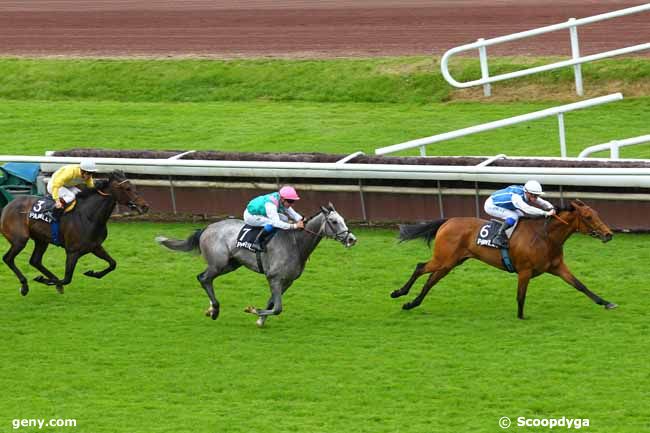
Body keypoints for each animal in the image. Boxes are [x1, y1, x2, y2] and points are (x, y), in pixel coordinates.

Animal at [0, 170, 147, 296]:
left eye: (134, 186)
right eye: (127, 188)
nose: (145, 206)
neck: (89, 216)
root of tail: (7, 206)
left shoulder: (95, 246)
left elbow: (113, 264)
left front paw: (92, 273)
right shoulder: (72, 251)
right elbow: (67, 278)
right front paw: (44, 280)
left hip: (41, 240)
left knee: (35, 261)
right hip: (20, 240)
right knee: (8, 258)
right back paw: (25, 286)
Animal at [155, 204, 356, 326]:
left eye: (343, 219)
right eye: (334, 221)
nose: (352, 239)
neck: (295, 243)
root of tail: (207, 228)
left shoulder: (287, 281)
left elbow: (272, 302)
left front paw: (260, 319)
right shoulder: (274, 277)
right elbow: (277, 308)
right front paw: (253, 310)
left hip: (231, 265)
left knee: (206, 279)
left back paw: (211, 309)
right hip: (219, 263)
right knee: (203, 278)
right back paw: (215, 309)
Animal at [392, 199, 616, 318]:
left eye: (597, 213)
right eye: (588, 217)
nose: (608, 234)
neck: (545, 237)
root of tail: (447, 222)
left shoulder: (558, 267)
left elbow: (580, 285)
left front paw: (606, 302)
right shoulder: (525, 271)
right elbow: (521, 295)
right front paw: (521, 316)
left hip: (451, 262)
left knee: (430, 281)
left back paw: (411, 304)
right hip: (443, 259)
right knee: (420, 267)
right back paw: (399, 293)